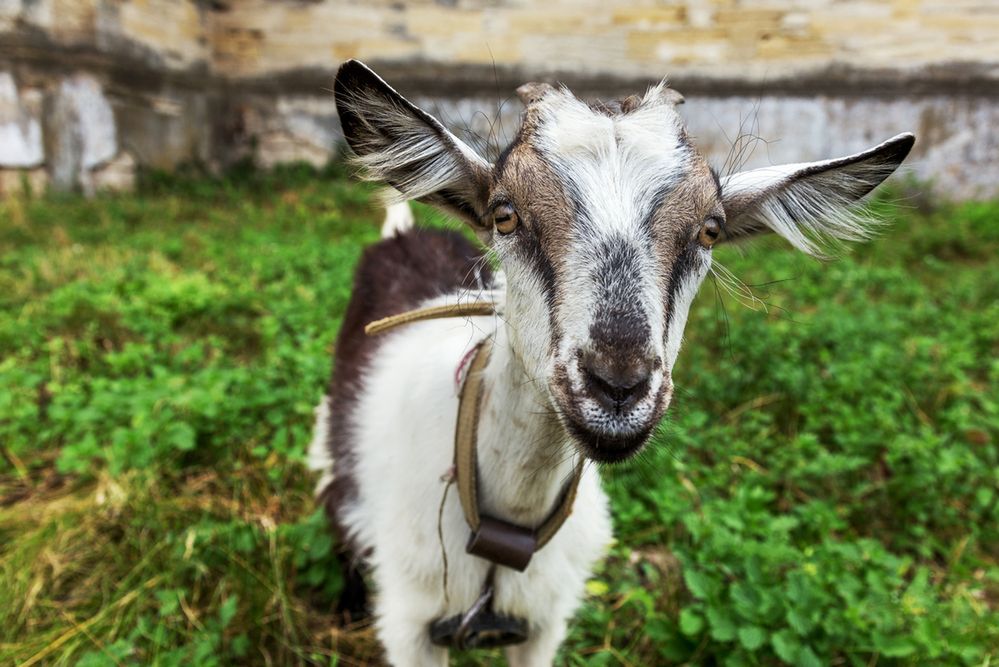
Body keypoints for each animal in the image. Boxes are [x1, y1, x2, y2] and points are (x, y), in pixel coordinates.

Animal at [310, 58, 916, 667]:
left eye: (710, 230)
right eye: (504, 216)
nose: (618, 387)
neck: (504, 521)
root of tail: (402, 233)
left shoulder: (544, 623)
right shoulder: (410, 626)